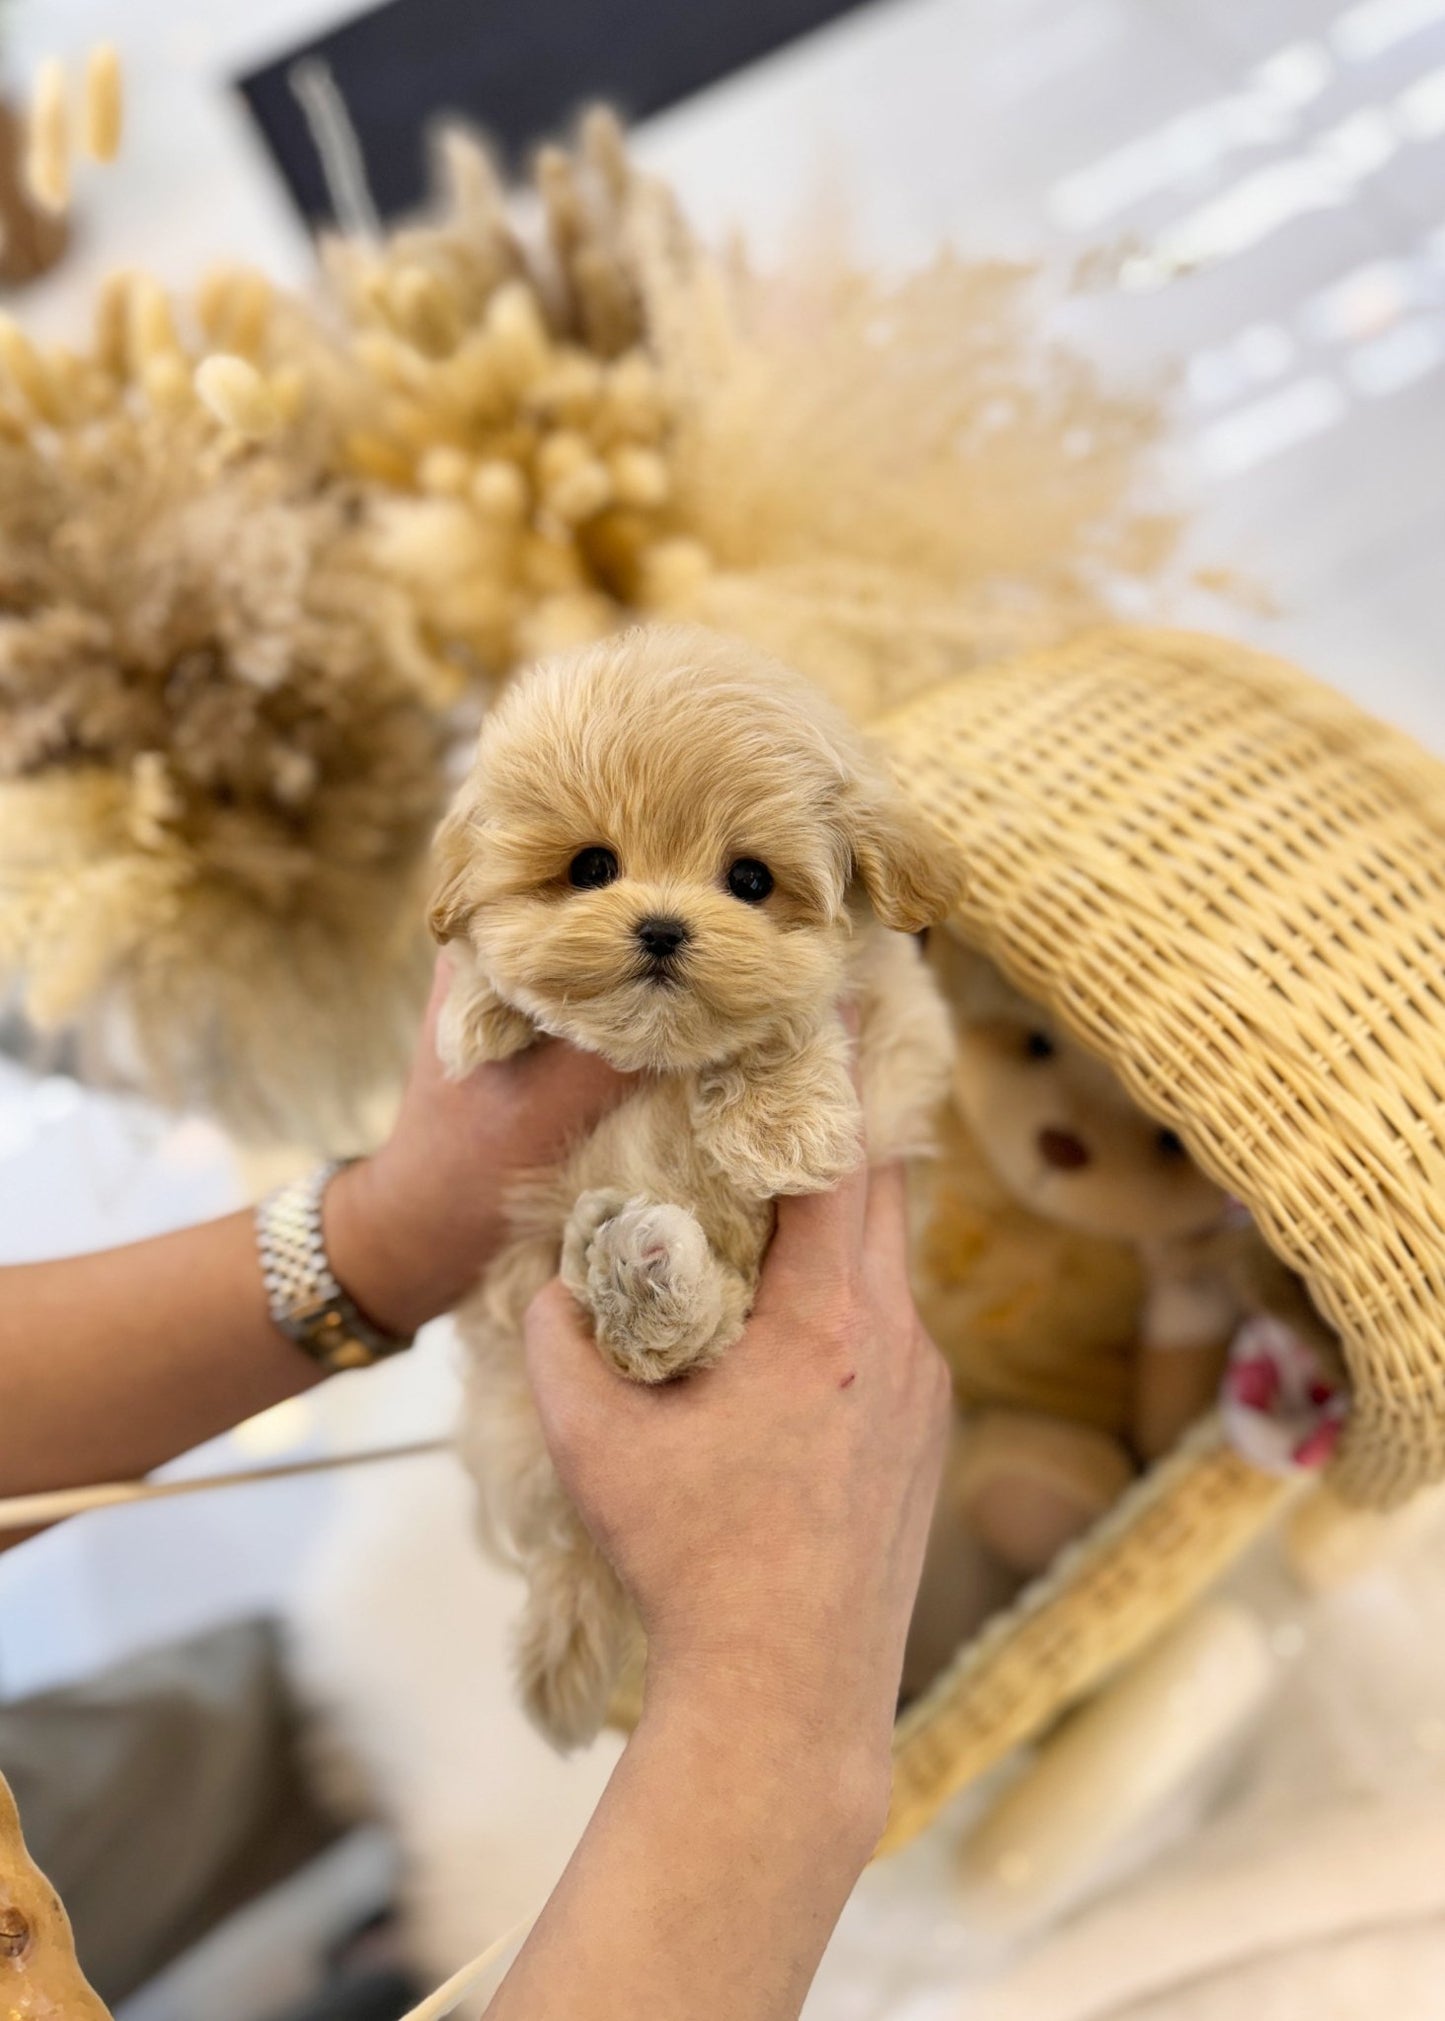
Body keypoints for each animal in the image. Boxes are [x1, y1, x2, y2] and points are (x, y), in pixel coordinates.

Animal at [434, 622, 966, 1746]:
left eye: (751, 880)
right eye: (591, 867)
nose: (661, 928)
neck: (662, 1062)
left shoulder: (895, 1032)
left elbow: (793, 1016)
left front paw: (780, 1122)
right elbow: (483, 959)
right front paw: (479, 1010)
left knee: (689, 1335)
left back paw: (643, 1267)